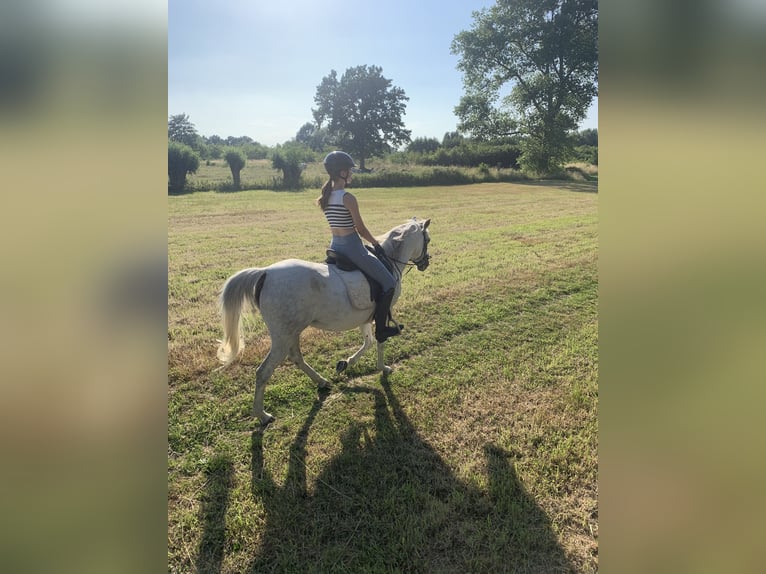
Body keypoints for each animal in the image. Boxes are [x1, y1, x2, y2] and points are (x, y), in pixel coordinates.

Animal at [216, 218, 431, 427]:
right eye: (427, 239)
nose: (425, 263)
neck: (388, 260)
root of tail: (266, 272)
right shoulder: (382, 313)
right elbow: (379, 340)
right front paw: (382, 368)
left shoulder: (366, 317)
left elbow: (368, 341)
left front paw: (346, 363)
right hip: (282, 336)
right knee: (263, 372)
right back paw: (262, 415)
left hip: (291, 332)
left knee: (296, 357)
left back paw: (322, 382)